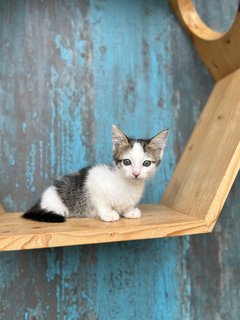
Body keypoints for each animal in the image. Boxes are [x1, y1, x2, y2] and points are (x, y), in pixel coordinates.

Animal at [23, 125, 169, 222]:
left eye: (146, 163)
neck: (129, 185)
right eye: (127, 162)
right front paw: (108, 214)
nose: (136, 173)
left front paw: (129, 211)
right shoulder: (93, 181)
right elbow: (101, 201)